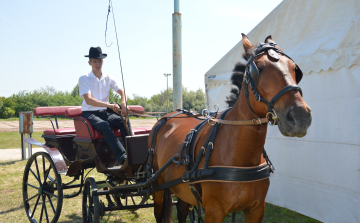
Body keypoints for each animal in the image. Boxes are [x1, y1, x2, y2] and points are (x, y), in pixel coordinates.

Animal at [149, 34, 312, 222]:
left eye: (294, 69)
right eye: (259, 69)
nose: (301, 116)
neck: (239, 154)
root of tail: (168, 116)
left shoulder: (256, 209)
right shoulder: (213, 212)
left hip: (183, 189)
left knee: (182, 210)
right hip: (157, 185)